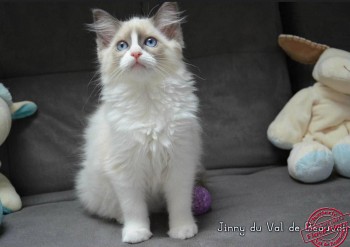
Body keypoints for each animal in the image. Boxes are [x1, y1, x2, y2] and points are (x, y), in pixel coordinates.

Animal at [76, 1, 202, 244]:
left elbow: (179, 204)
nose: (135, 53)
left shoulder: (180, 163)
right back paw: (120, 219)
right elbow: (134, 208)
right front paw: (136, 233)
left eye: (149, 42)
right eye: (122, 46)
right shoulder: (125, 170)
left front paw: (182, 230)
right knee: (115, 209)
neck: (147, 97)